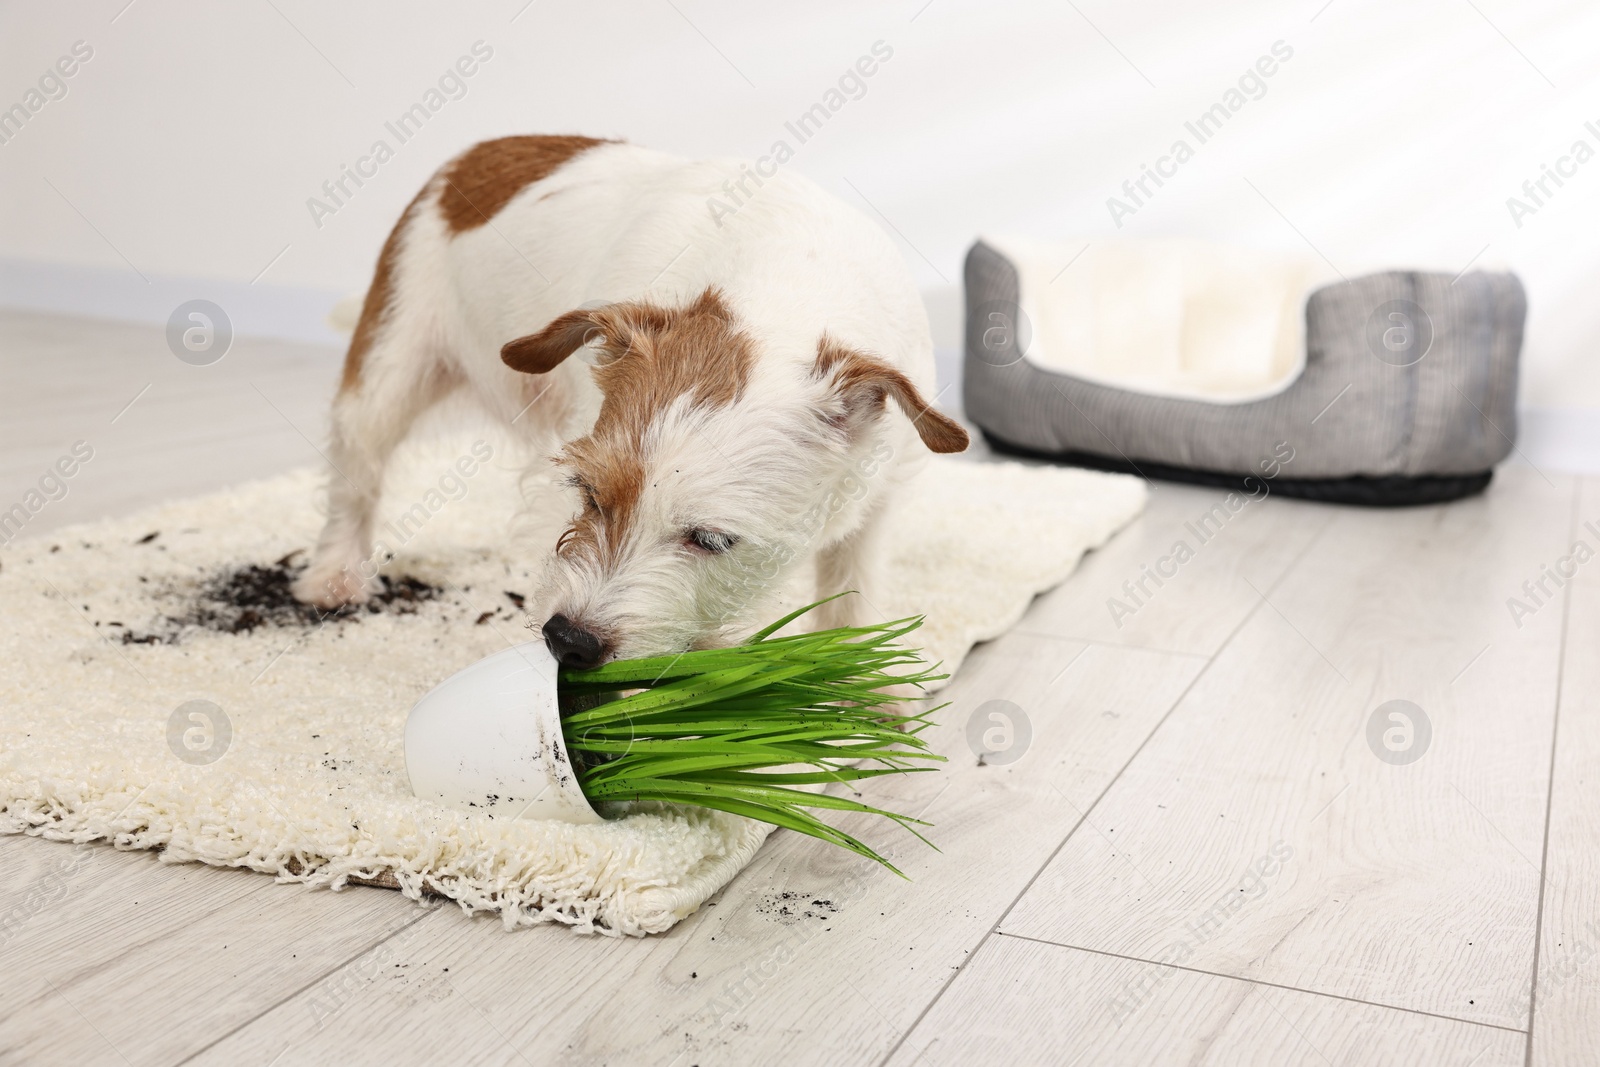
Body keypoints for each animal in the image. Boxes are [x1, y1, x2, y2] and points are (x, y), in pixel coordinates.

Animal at [289, 135, 966, 668]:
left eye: (712, 540)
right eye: (589, 495)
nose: (569, 641)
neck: (787, 288)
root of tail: (475, 154)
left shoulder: (878, 506)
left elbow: (854, 593)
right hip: (387, 367)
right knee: (356, 473)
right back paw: (334, 575)